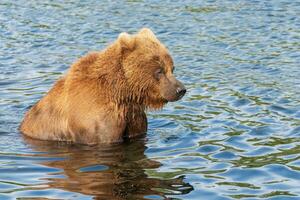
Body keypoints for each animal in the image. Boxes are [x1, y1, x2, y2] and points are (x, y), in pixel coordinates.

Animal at [19, 27, 185, 144]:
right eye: (159, 70)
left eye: (172, 68)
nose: (181, 89)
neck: (122, 93)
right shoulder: (96, 120)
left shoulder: (133, 117)